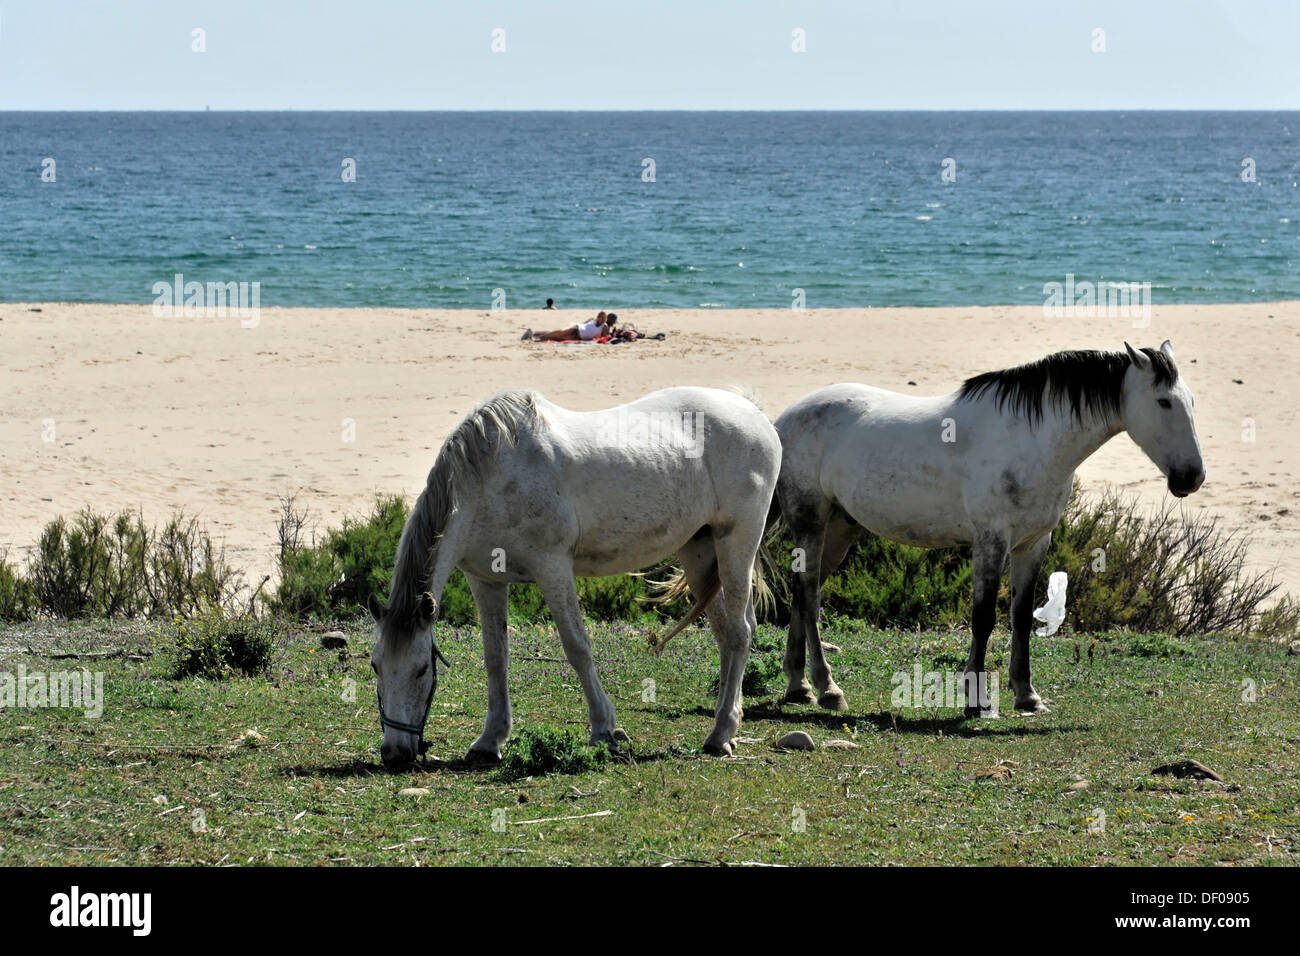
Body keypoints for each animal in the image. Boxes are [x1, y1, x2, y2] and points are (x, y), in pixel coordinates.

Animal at [364, 385, 780, 764]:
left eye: (422, 669)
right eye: (376, 666)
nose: (395, 753)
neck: (490, 480)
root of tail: (754, 413)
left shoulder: (552, 568)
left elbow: (577, 647)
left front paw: (604, 729)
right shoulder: (486, 581)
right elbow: (495, 657)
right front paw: (490, 740)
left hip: (736, 541)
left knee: (740, 632)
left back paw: (721, 734)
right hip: (699, 552)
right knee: (727, 633)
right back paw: (728, 723)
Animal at [769, 343, 1206, 717]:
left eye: (1191, 401)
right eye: (1163, 402)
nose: (1192, 477)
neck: (1030, 439)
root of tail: (784, 421)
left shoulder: (1033, 544)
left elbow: (1020, 617)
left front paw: (1027, 695)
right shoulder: (990, 541)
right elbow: (982, 617)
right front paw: (975, 699)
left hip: (839, 529)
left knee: (802, 592)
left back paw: (798, 686)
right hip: (810, 521)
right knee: (808, 595)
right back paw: (827, 688)